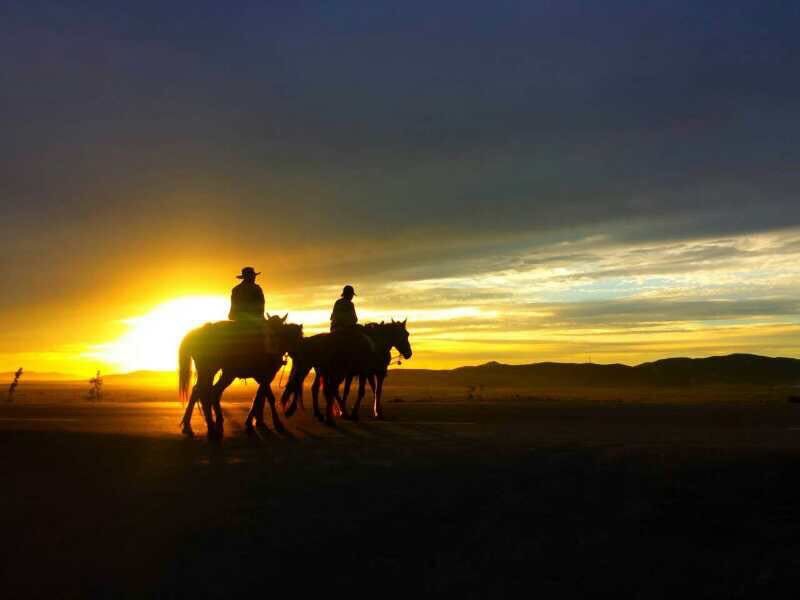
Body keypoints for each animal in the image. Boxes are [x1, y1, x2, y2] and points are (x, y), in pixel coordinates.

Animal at [282, 322, 412, 424]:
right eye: (405, 334)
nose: (409, 353)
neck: (377, 343)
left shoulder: (357, 373)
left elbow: (350, 390)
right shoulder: (371, 372)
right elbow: (367, 391)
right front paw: (356, 413)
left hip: (318, 370)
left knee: (313, 387)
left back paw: (319, 413)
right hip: (333, 371)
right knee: (327, 388)